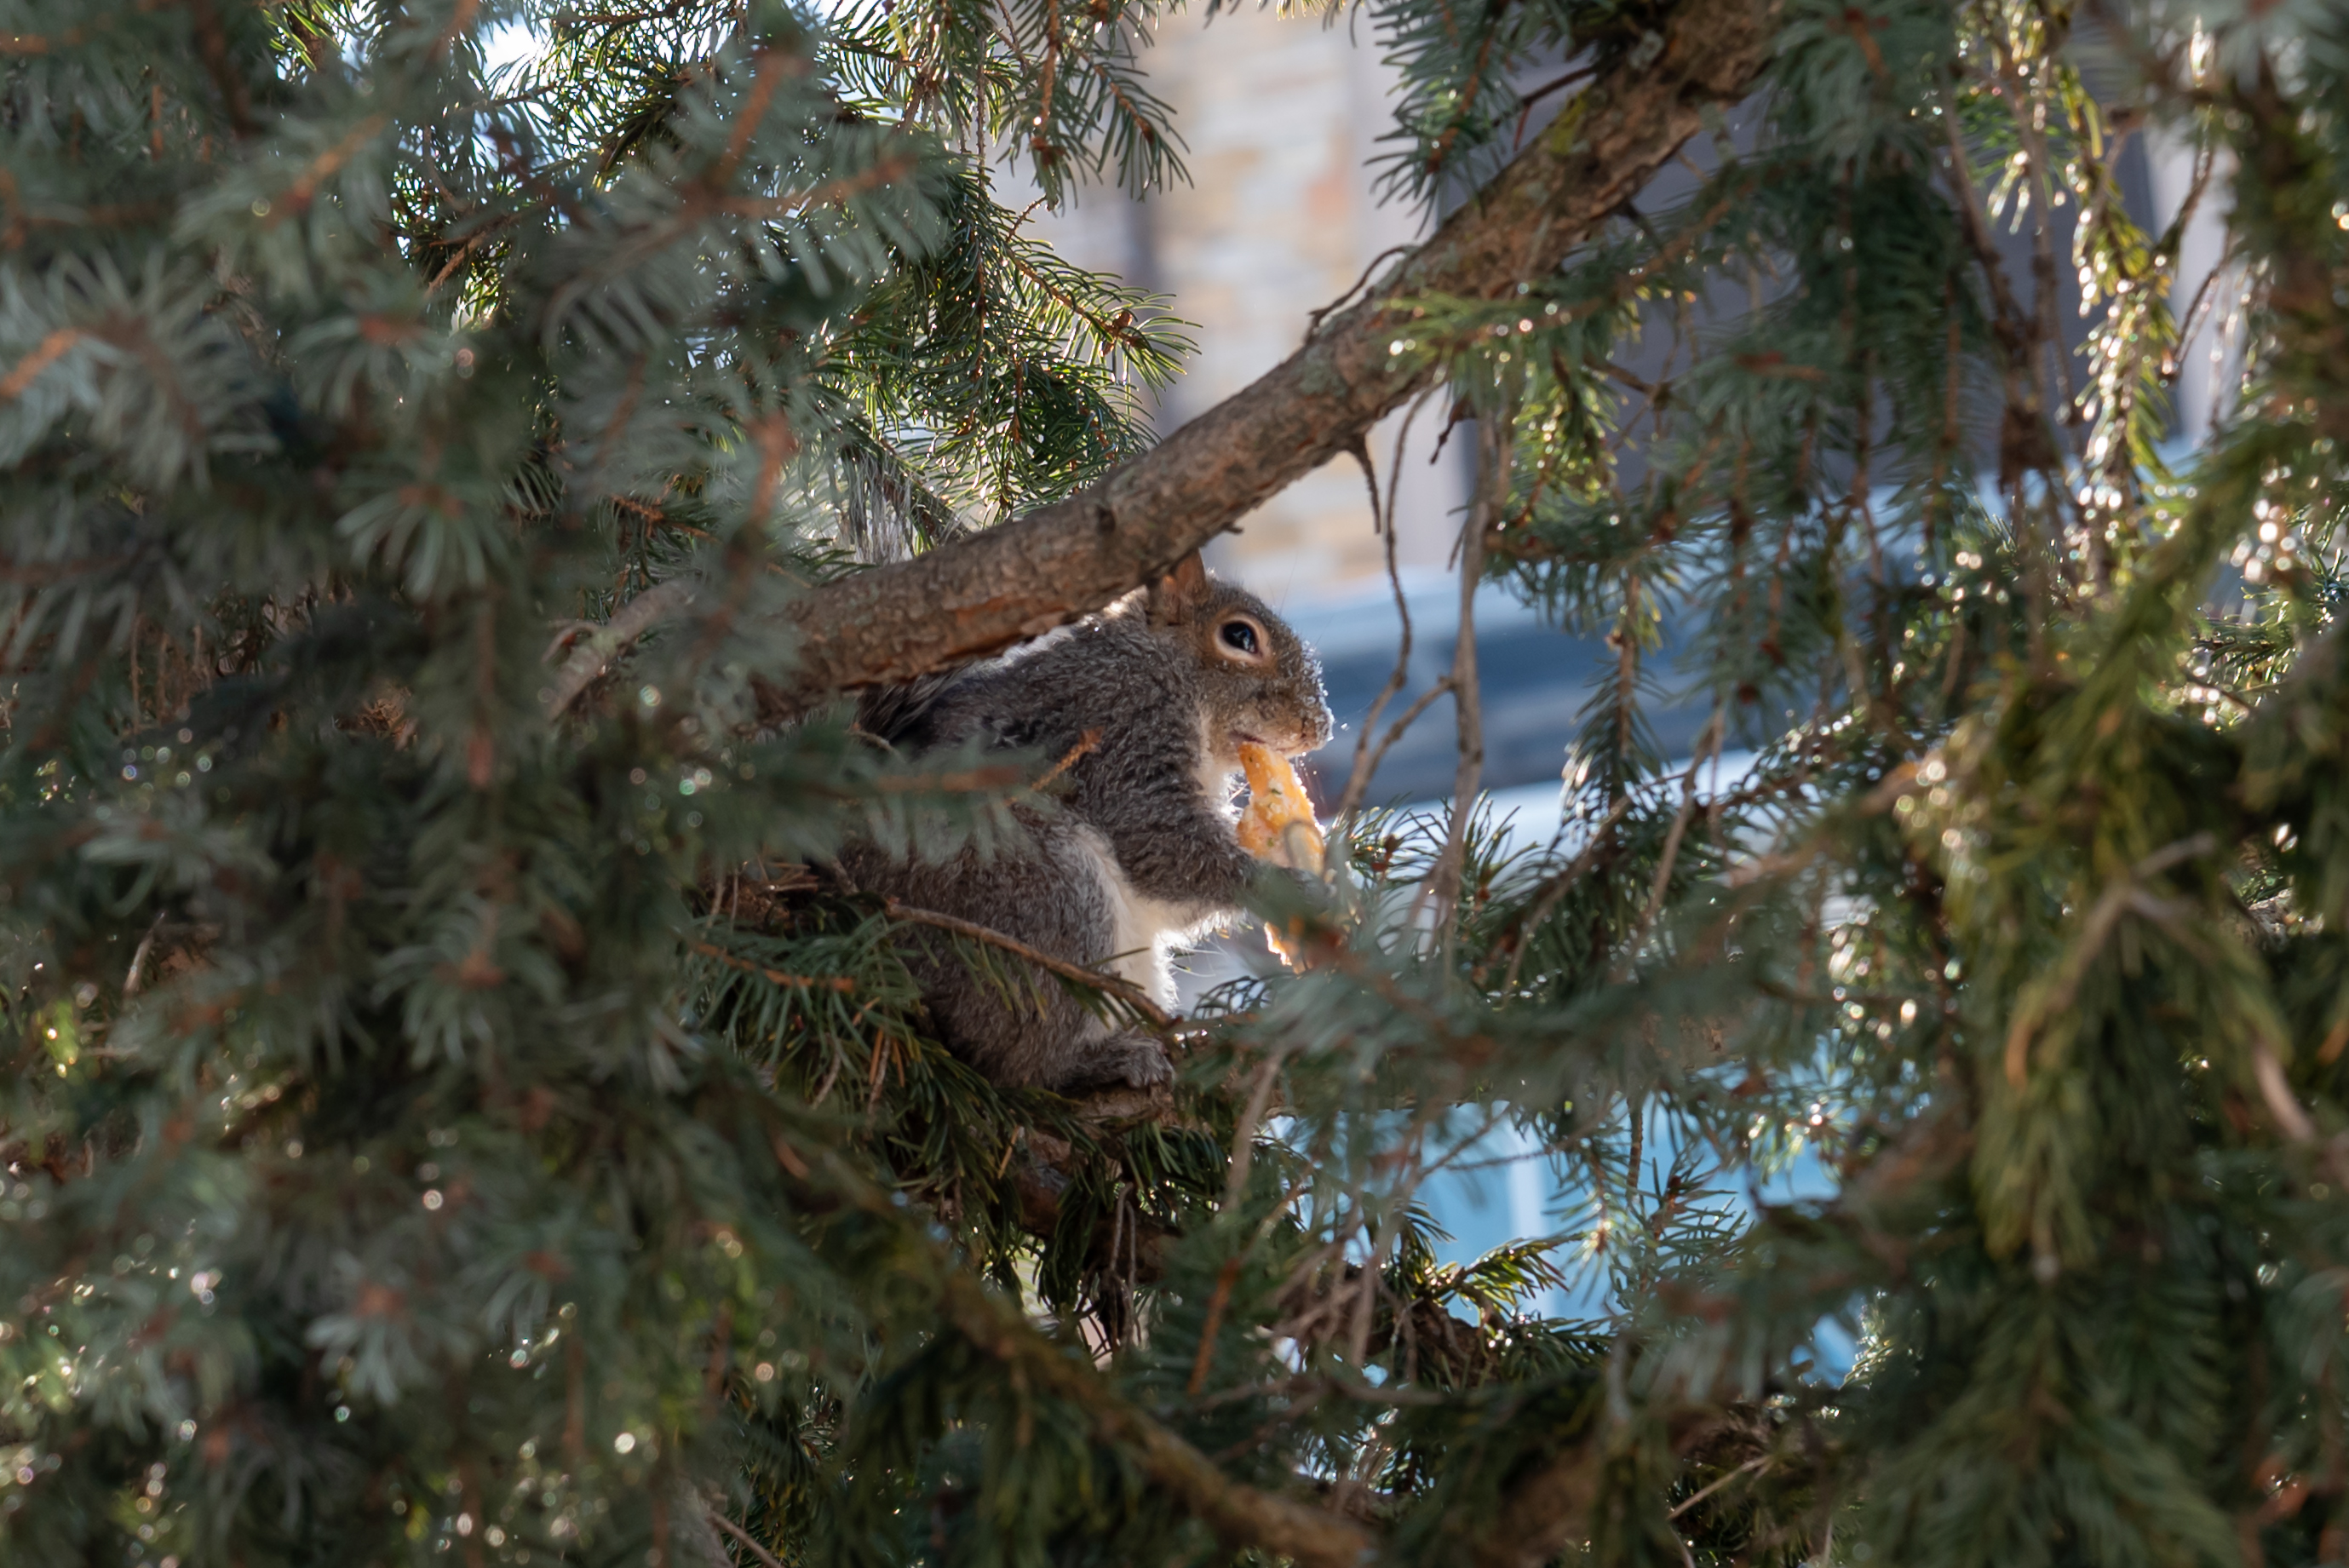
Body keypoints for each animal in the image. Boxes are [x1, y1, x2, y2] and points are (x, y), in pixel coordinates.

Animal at [842, 553, 1332, 1093]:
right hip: (1043, 897)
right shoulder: (1123, 734)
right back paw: (1106, 1060)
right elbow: (1160, 849)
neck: (1158, 665)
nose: (1320, 725)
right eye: (1240, 636)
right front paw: (1290, 888)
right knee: (1022, 1065)